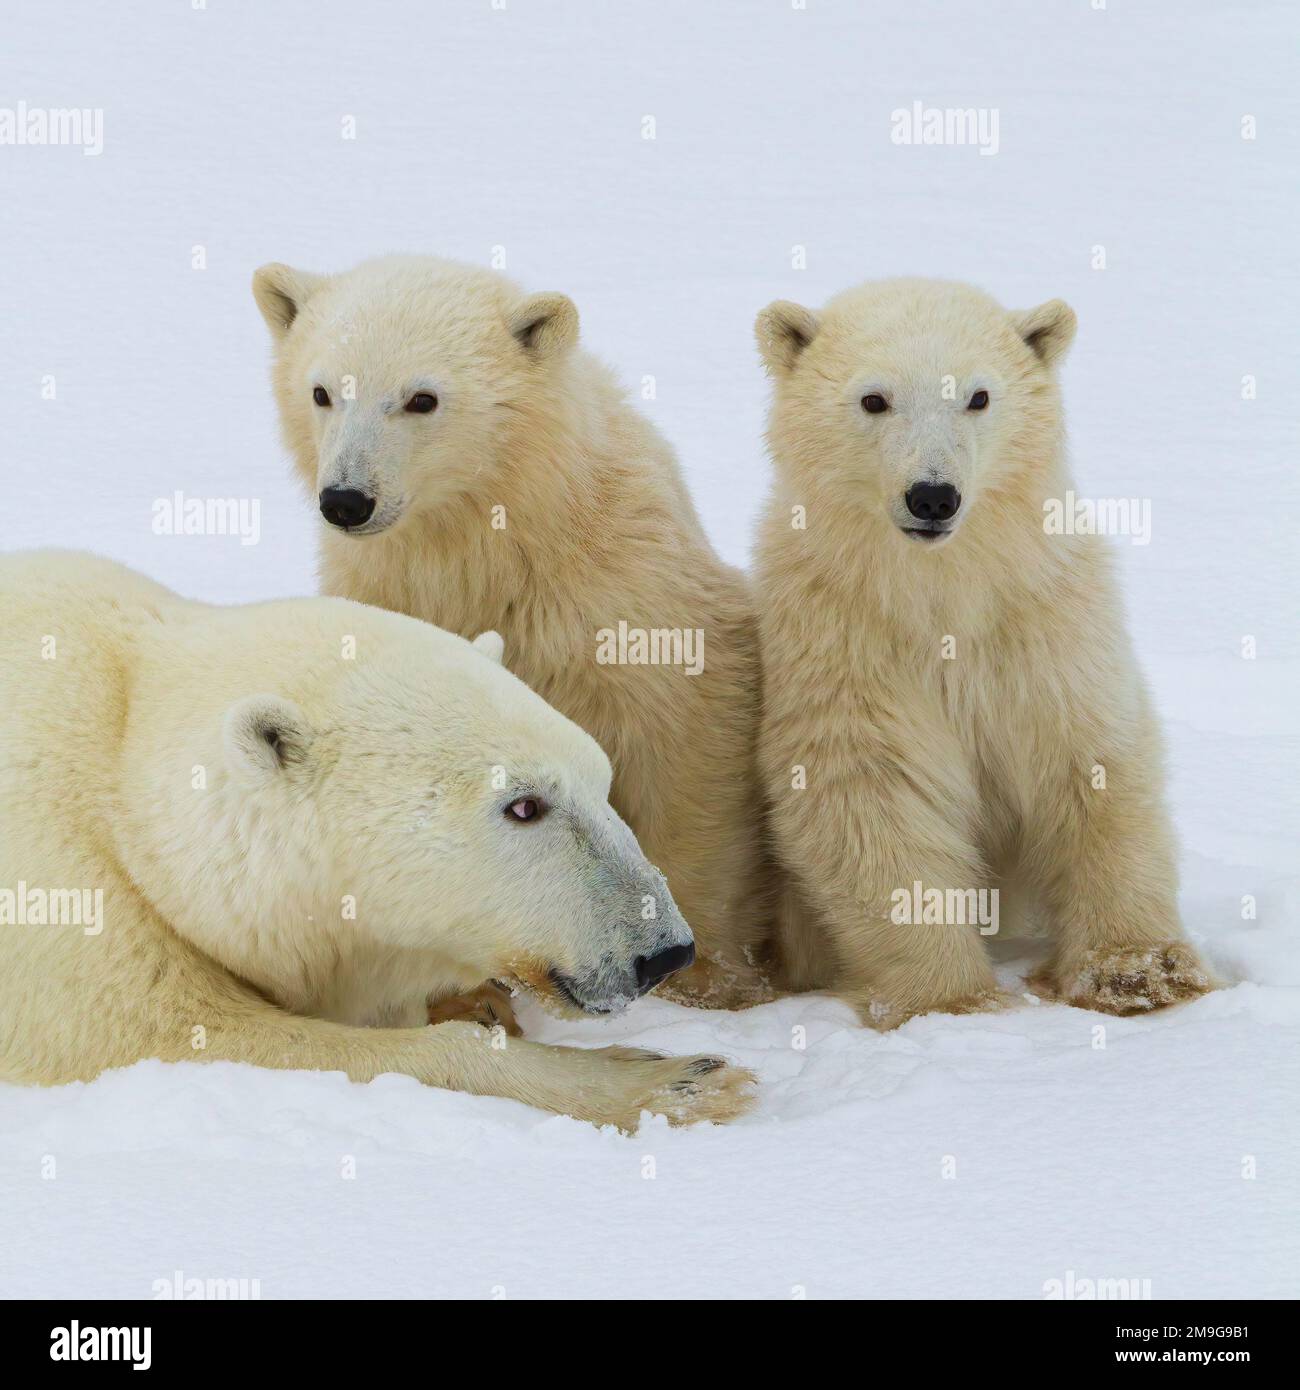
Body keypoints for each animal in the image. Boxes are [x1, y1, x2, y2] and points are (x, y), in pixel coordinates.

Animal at [0, 550, 755, 1130]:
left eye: (603, 780)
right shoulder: (70, 902)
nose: (663, 952)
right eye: (524, 805)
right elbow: (177, 1033)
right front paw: (678, 1080)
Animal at [251, 254, 772, 1007]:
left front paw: (704, 978)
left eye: (422, 398)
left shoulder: (625, 591)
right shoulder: (387, 592)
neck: (488, 546)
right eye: (322, 391)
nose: (347, 500)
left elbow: (682, 741)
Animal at [752, 278, 1214, 1027]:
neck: (949, 592)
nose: (933, 496)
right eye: (874, 399)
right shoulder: (845, 640)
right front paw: (950, 999)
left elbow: (1092, 763)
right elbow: (871, 796)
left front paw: (1139, 972)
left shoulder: (1045, 627)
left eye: (978, 396)